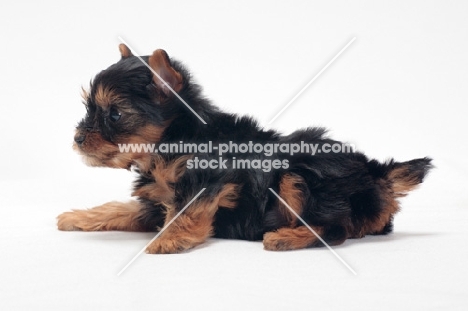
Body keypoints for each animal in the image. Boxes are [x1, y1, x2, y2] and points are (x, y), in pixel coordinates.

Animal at [56, 45, 434, 255]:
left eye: (114, 114)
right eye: (90, 108)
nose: (78, 139)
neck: (173, 142)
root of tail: (374, 173)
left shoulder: (209, 181)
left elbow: (186, 211)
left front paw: (171, 238)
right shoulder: (156, 201)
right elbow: (120, 209)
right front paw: (78, 217)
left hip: (300, 175)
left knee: (335, 229)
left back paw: (285, 238)